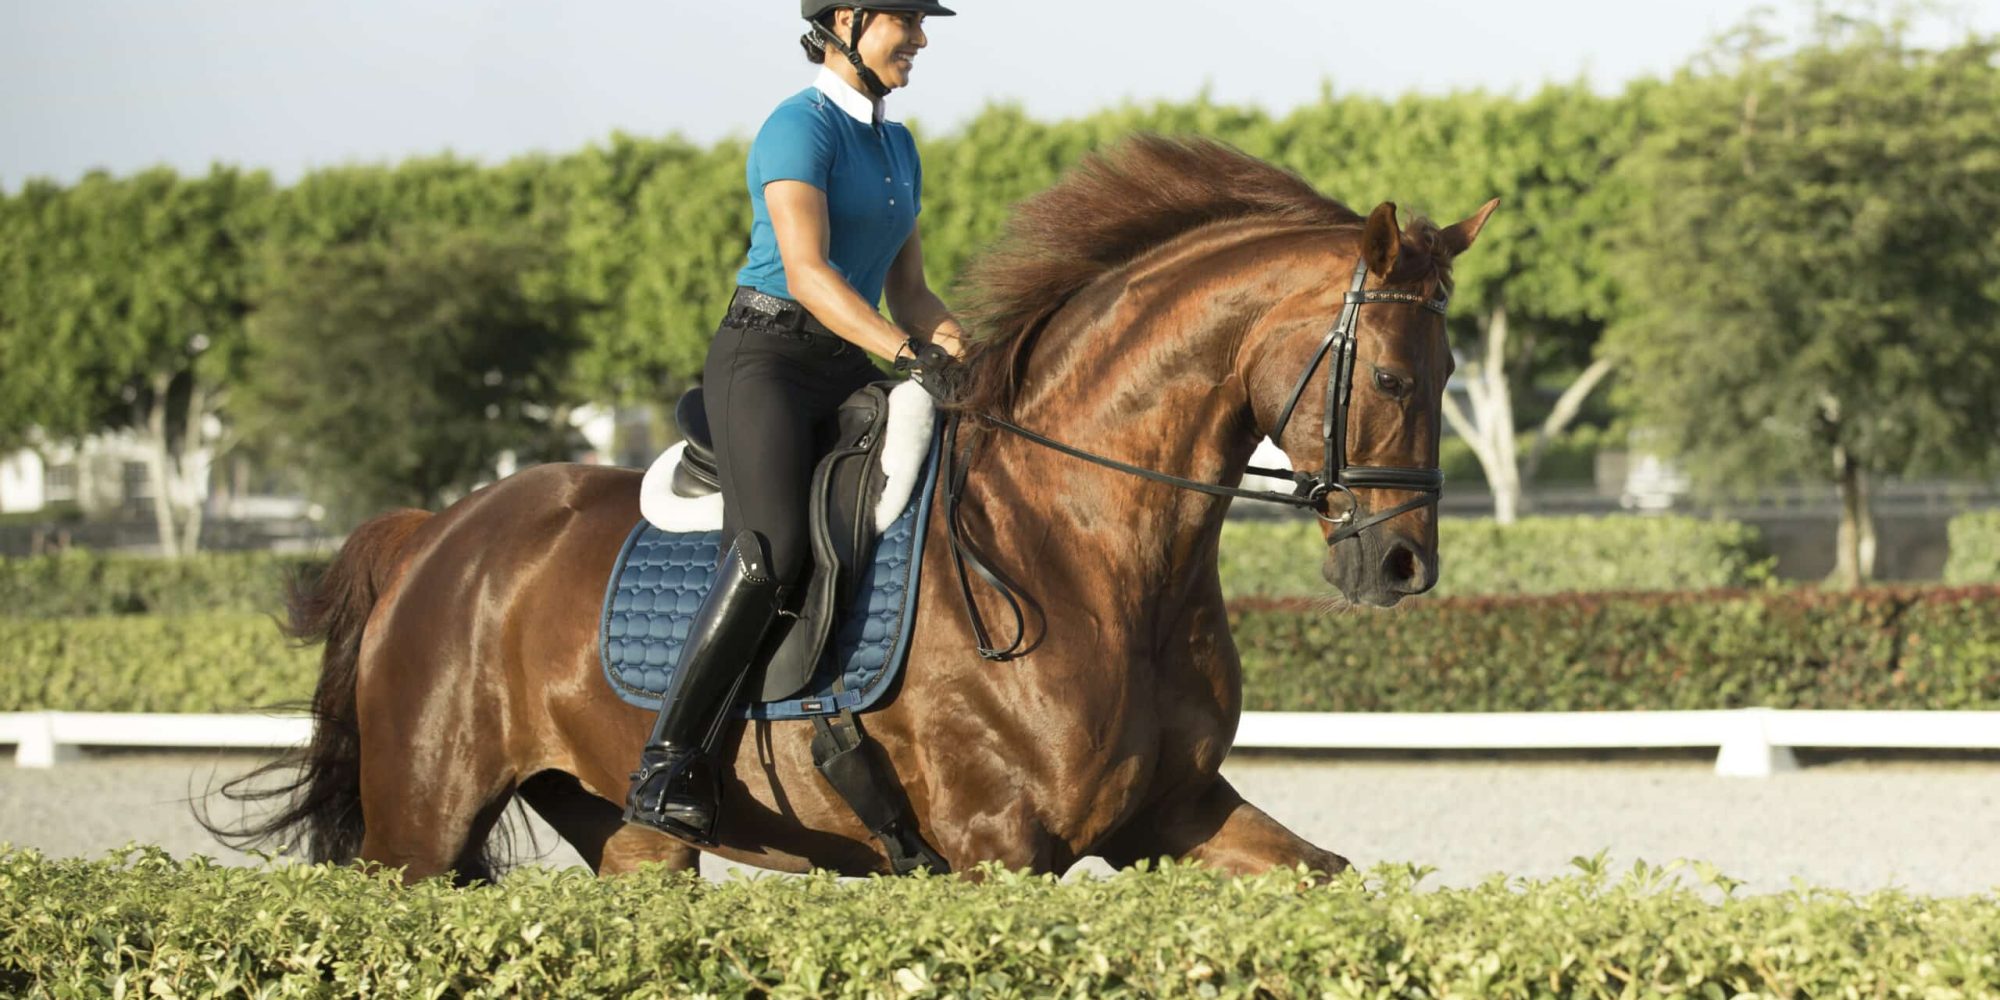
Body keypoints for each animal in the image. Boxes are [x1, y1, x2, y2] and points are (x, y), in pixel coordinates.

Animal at [215, 135, 1504, 884]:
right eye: (1395, 379)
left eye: (1452, 373)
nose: (1401, 563)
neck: (1087, 549)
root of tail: (437, 534)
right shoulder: (997, 852)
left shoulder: (1177, 810)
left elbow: (1322, 878)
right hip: (420, 836)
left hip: (630, 839)